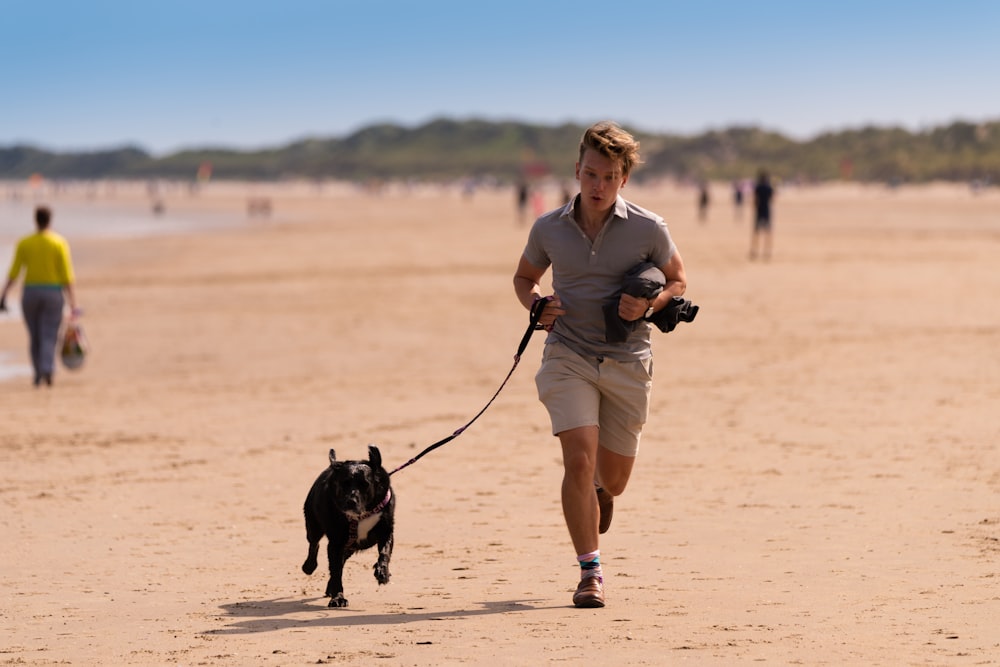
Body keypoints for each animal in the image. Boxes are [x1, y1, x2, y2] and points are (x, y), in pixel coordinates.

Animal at [302, 446, 396, 608]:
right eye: (344, 483)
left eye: (365, 484)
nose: (351, 502)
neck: (363, 513)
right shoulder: (336, 543)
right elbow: (336, 572)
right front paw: (338, 598)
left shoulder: (386, 531)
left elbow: (384, 553)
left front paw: (382, 572)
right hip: (313, 526)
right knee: (314, 544)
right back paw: (309, 567)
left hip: (350, 546)